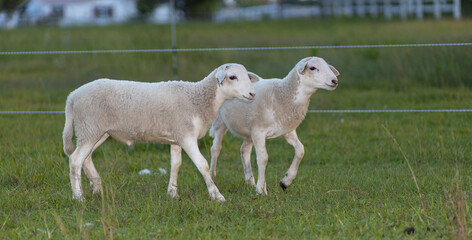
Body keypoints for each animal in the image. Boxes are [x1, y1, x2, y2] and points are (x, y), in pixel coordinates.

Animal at [62, 62, 258, 202]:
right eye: (232, 77)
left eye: (248, 77)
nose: (252, 94)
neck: (198, 99)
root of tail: (72, 97)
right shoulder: (186, 136)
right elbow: (203, 165)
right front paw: (217, 196)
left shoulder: (177, 138)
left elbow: (176, 164)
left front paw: (172, 193)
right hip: (89, 128)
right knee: (75, 160)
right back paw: (78, 197)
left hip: (96, 132)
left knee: (86, 158)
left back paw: (97, 190)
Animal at [210, 57, 340, 195]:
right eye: (312, 68)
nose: (334, 81)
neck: (283, 94)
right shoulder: (259, 131)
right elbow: (263, 158)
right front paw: (261, 189)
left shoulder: (287, 130)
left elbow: (300, 150)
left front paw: (286, 181)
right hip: (220, 122)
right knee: (216, 148)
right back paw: (213, 176)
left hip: (249, 130)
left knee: (244, 150)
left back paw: (250, 182)